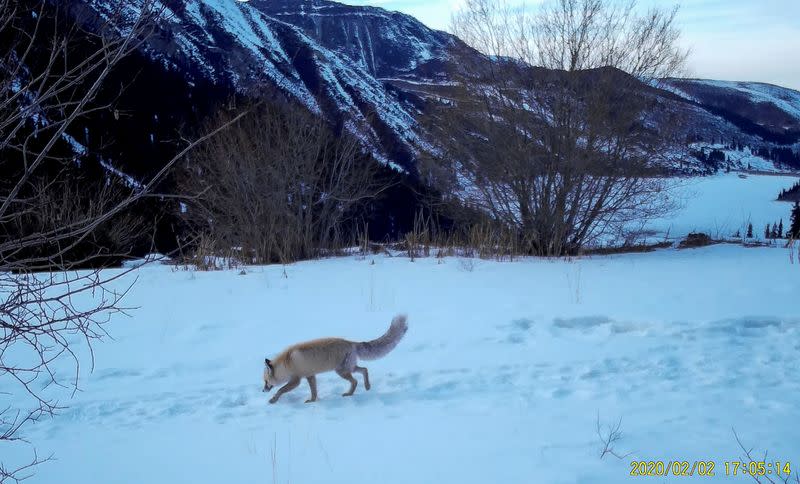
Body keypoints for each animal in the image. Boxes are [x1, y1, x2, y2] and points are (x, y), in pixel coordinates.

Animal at [262, 312, 410, 402]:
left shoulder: (296, 380)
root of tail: (351, 342)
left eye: (265, 381)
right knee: (364, 370)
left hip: (341, 371)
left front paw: (273, 400)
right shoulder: (310, 376)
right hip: (349, 368)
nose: (262, 390)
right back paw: (367, 386)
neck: (286, 364)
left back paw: (350, 394)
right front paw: (312, 401)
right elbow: (314, 392)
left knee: (355, 381)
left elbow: (280, 390)